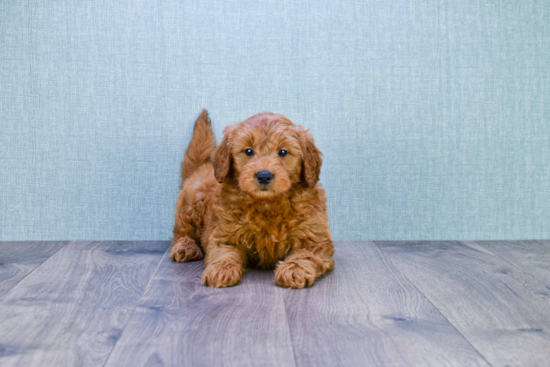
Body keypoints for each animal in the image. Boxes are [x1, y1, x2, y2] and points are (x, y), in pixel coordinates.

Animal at [172, 110, 334, 288]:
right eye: (248, 151)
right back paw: (186, 247)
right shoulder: (223, 233)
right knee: (180, 232)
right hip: (191, 205)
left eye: (283, 152)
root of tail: (203, 166)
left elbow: (306, 254)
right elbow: (224, 252)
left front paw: (294, 269)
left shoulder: (315, 239)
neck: (267, 204)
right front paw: (221, 269)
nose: (264, 175)